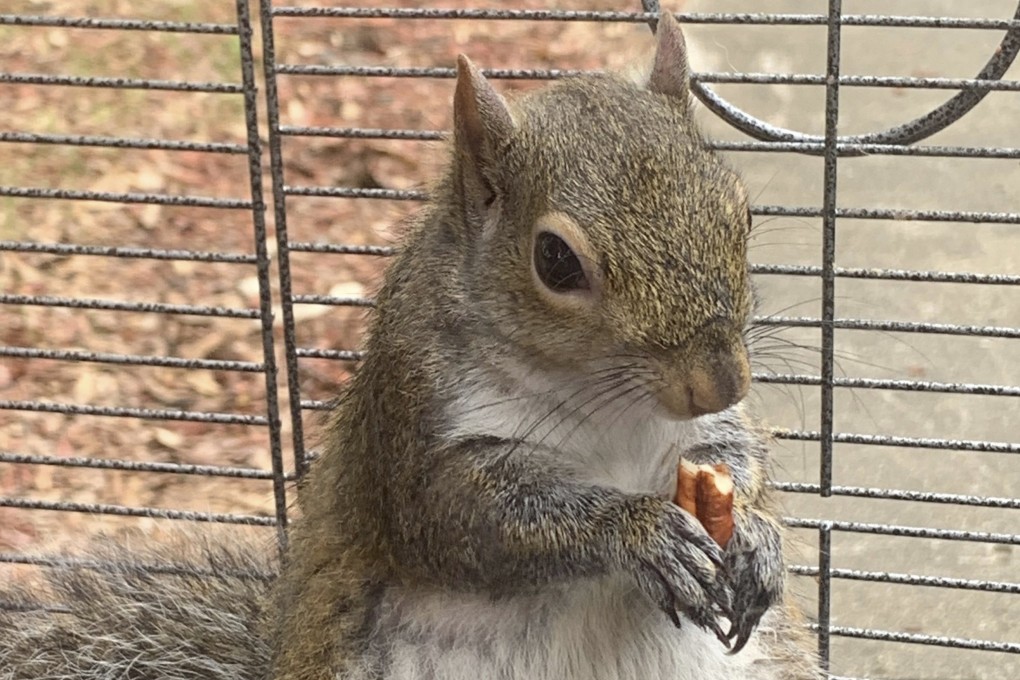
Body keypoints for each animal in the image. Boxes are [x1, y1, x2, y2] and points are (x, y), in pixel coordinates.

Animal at [0, 13, 821, 680]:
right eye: (555, 261)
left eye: (741, 212)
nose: (719, 381)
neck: (601, 401)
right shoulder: (412, 413)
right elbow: (461, 515)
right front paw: (639, 533)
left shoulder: (702, 437)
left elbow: (736, 458)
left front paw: (756, 539)